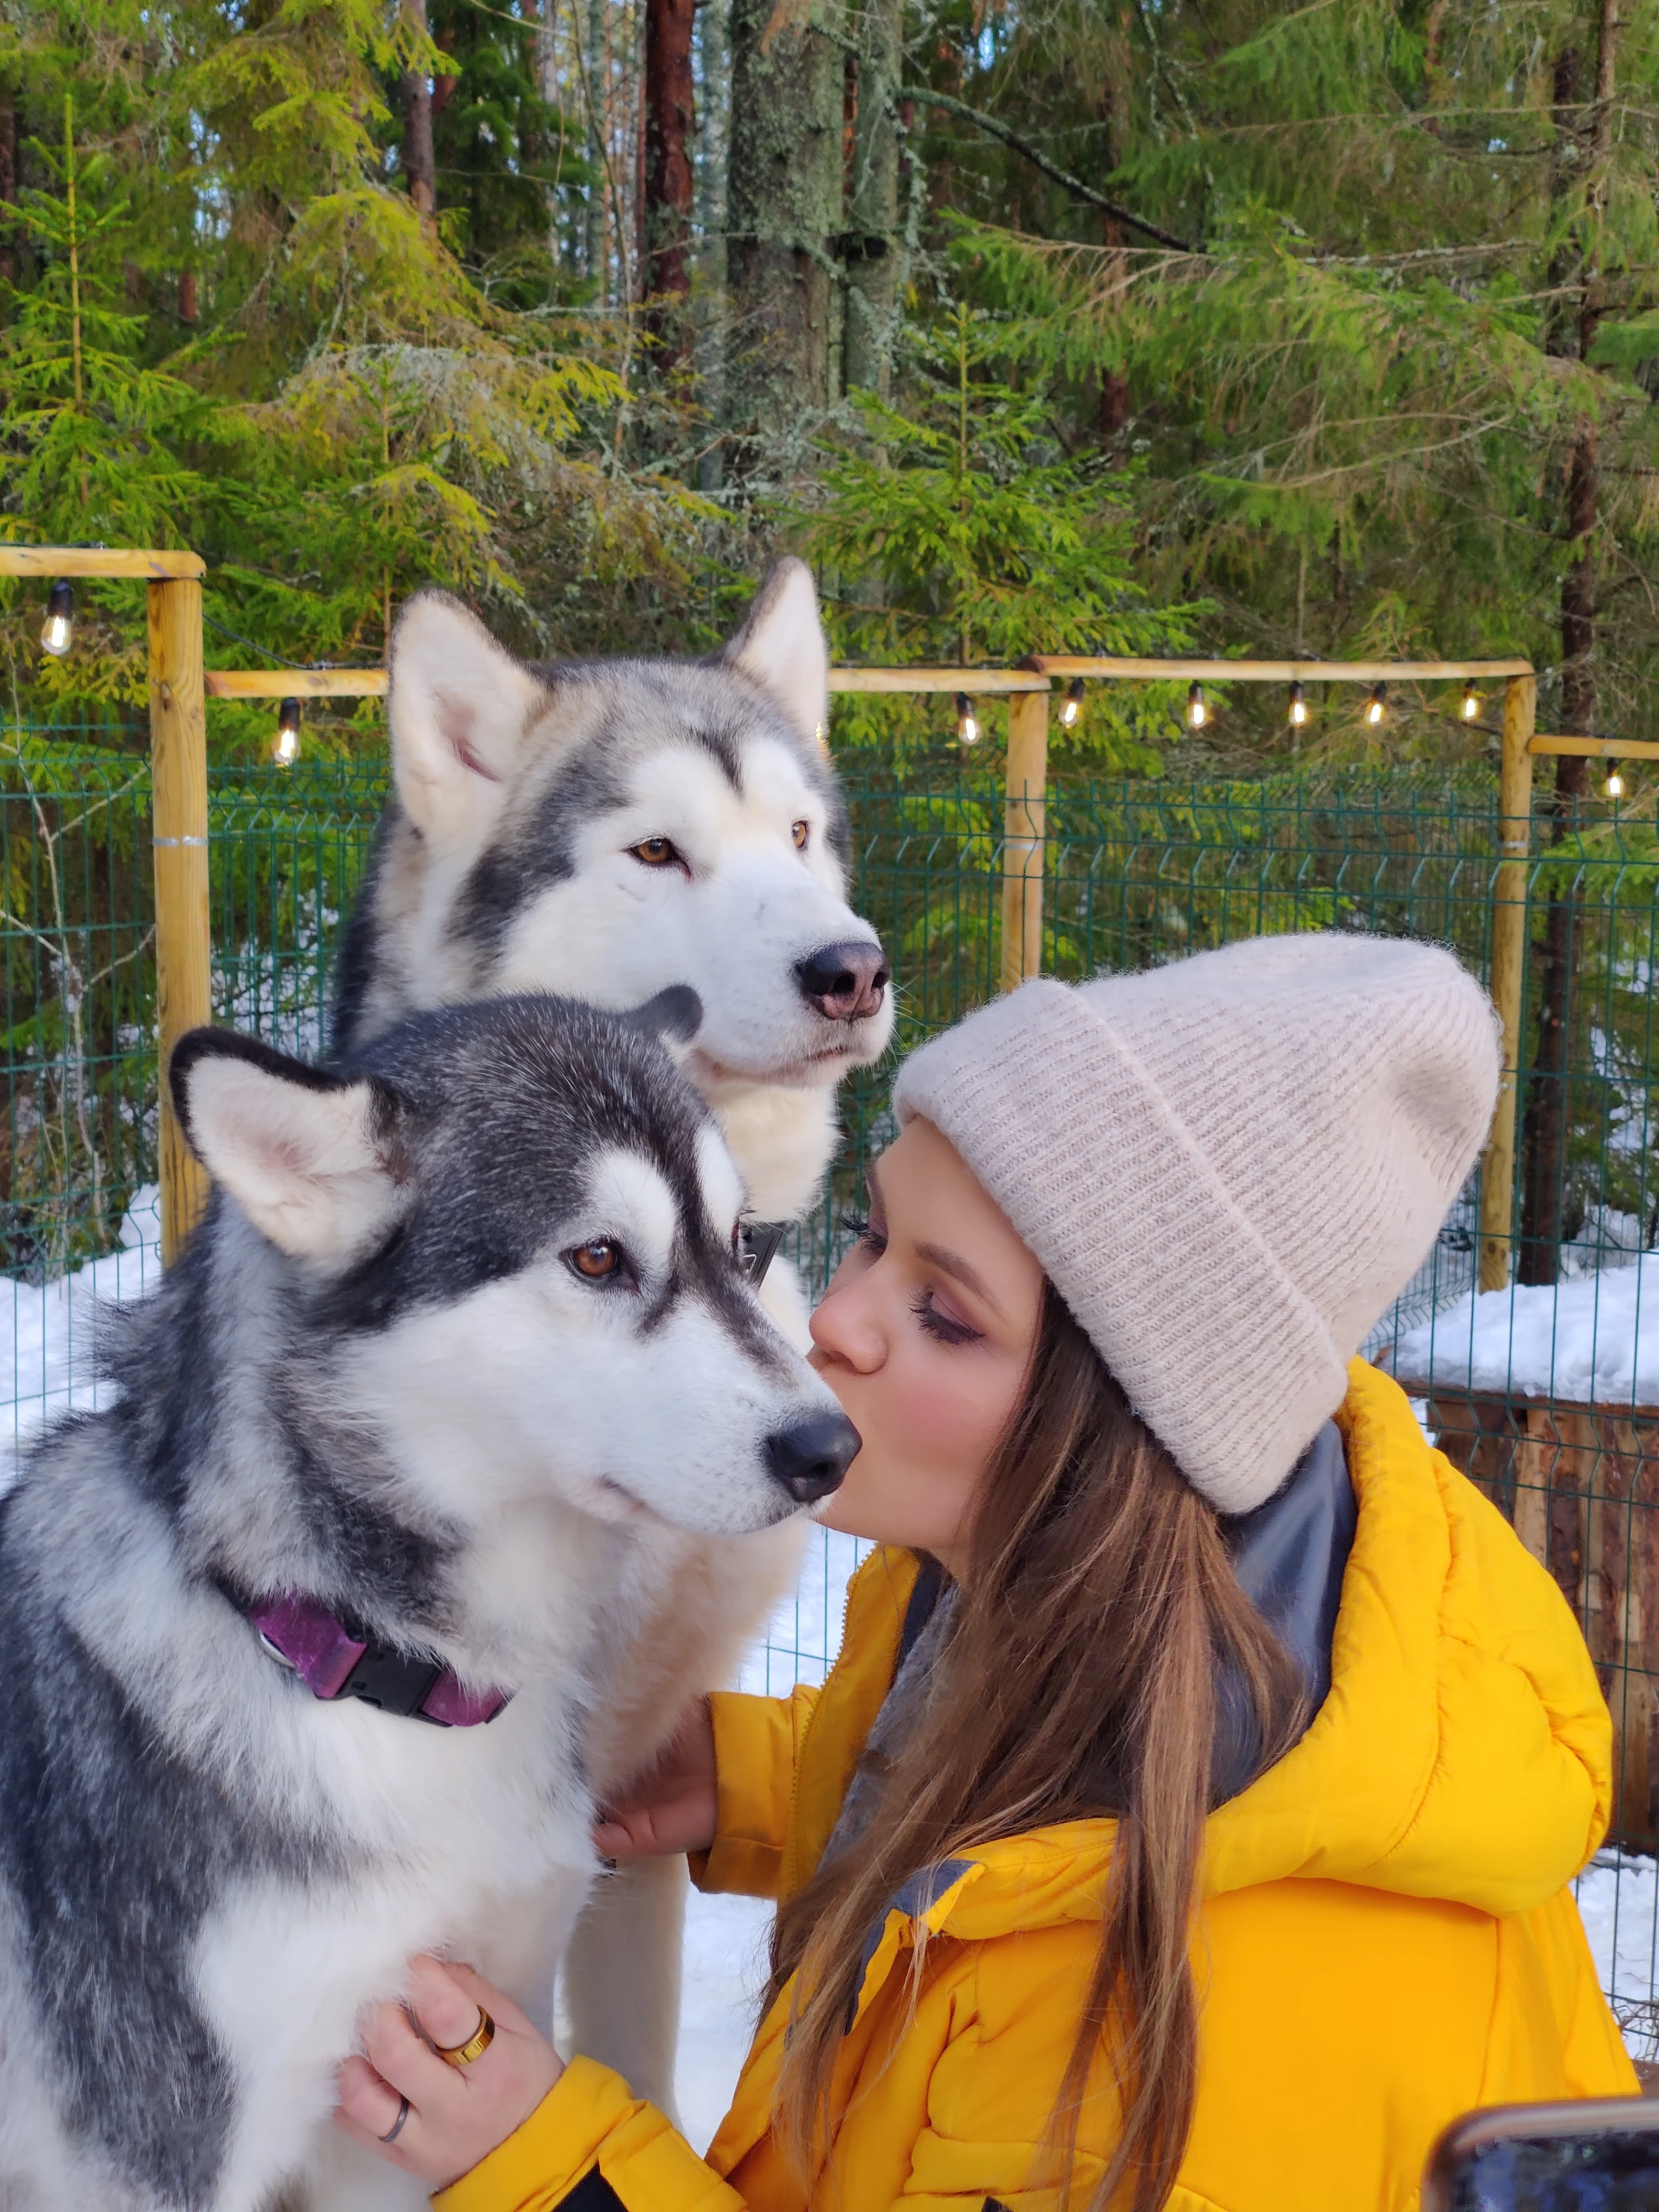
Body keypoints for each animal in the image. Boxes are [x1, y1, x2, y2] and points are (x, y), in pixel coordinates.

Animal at [0, 991, 858, 2212]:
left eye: (745, 1246)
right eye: (599, 1257)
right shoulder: (160, 2157)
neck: (363, 1663)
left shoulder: (418, 2084)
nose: (832, 1448)